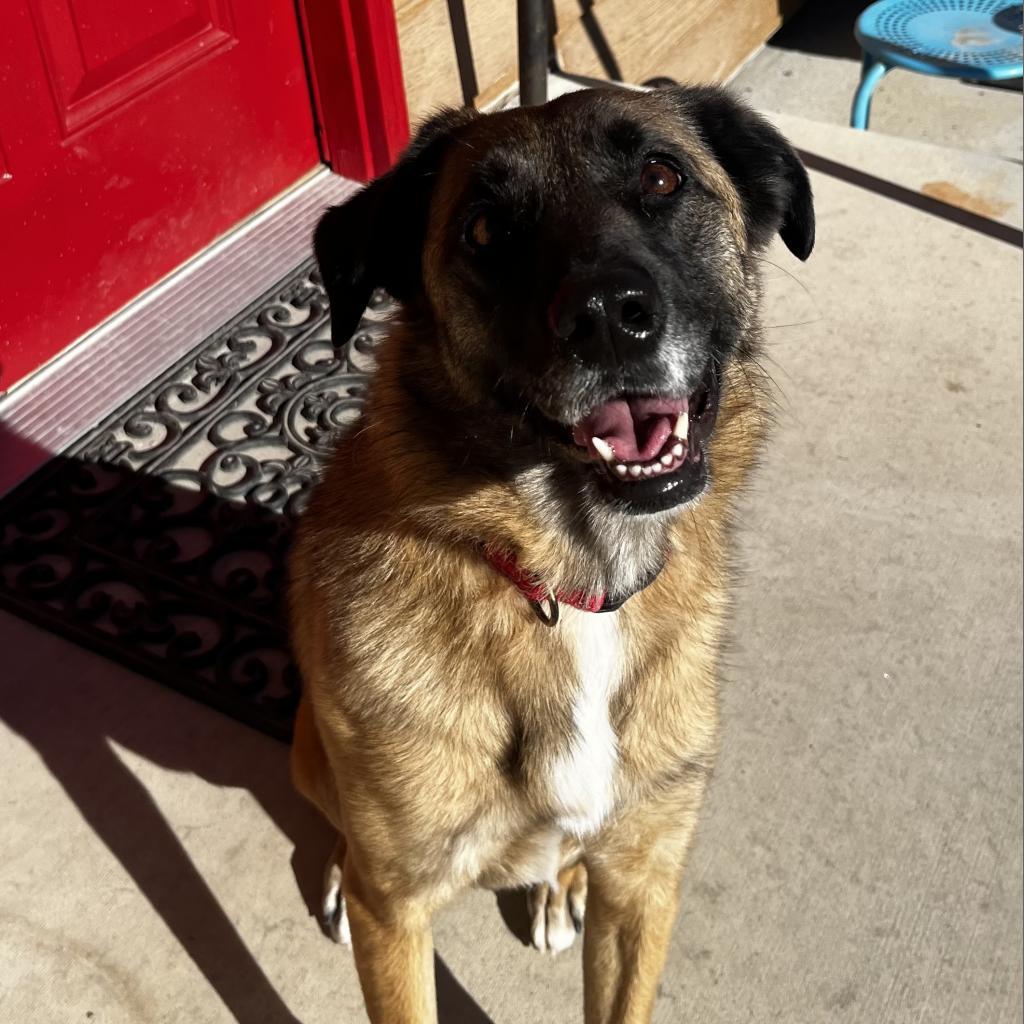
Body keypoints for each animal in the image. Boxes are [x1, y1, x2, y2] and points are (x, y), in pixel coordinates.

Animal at [290, 83, 815, 1019]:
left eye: (662, 176)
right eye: (483, 228)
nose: (608, 318)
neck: (570, 583)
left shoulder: (644, 884)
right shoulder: (399, 911)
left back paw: (557, 882)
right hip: (311, 751)